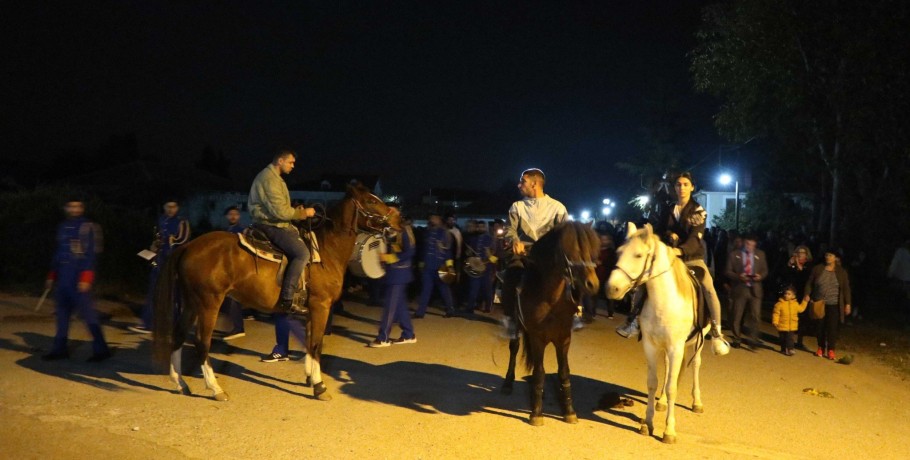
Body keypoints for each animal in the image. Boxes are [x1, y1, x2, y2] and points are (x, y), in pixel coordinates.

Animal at [153, 182, 400, 398]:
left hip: (191, 303)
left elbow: (310, 343)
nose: (397, 220)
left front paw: (310, 378)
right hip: (208, 303)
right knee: (201, 342)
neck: (326, 250)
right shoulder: (321, 306)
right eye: (371, 200)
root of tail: (188, 247)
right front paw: (319, 387)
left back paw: (180, 383)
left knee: (179, 334)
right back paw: (215, 389)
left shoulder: (312, 310)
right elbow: (317, 344)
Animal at [502, 221, 604, 426]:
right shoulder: (537, 339)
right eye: (572, 252)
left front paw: (569, 411)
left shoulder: (564, 339)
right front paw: (536, 413)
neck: (551, 299)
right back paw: (508, 383)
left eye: (592, 251)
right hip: (514, 321)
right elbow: (540, 373)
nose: (593, 284)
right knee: (514, 348)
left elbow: (564, 372)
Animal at [608, 221, 716, 444]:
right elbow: (654, 383)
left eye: (638, 255)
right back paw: (662, 402)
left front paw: (669, 431)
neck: (665, 301)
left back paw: (697, 402)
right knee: (668, 371)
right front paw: (647, 423)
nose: (612, 288)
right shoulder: (651, 346)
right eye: (619, 252)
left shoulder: (676, 347)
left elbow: (672, 387)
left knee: (696, 366)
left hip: (697, 343)